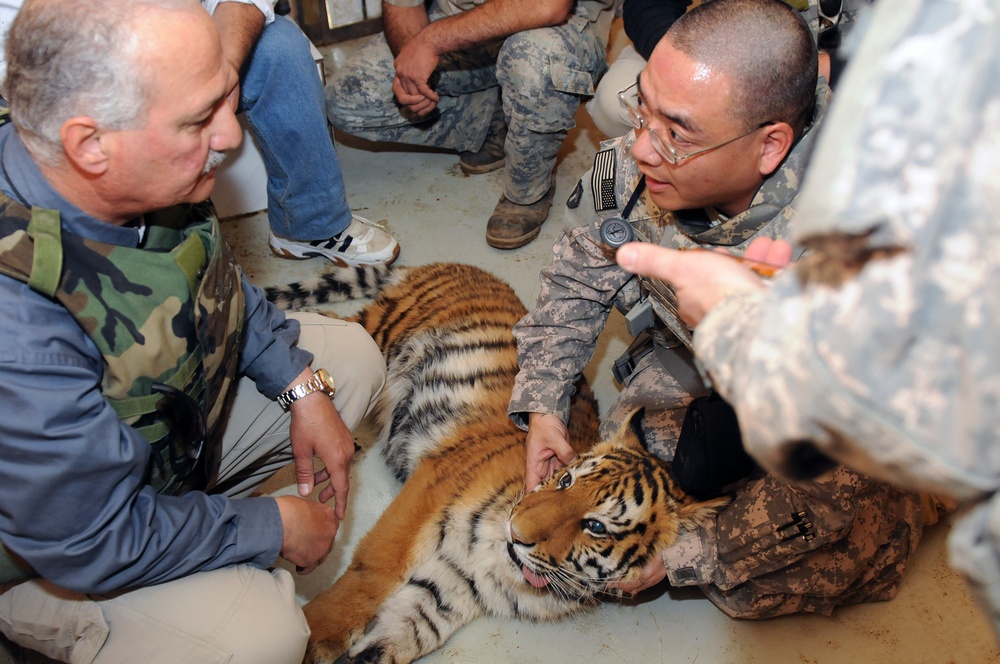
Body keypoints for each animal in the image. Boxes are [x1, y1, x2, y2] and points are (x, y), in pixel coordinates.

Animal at [266, 264, 732, 664]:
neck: (499, 564)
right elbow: (375, 570)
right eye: (564, 480)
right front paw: (313, 636)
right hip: (380, 337)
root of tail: (454, 266)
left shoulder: (454, 585)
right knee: (327, 325)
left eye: (596, 526)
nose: (516, 532)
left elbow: (406, 629)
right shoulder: (434, 484)